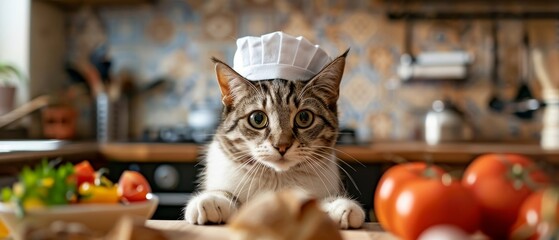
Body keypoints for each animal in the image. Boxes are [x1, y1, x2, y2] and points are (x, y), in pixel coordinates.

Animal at [184, 49, 368, 230]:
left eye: (304, 117)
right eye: (258, 118)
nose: (282, 145)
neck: (277, 178)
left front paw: (338, 206)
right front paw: (211, 200)